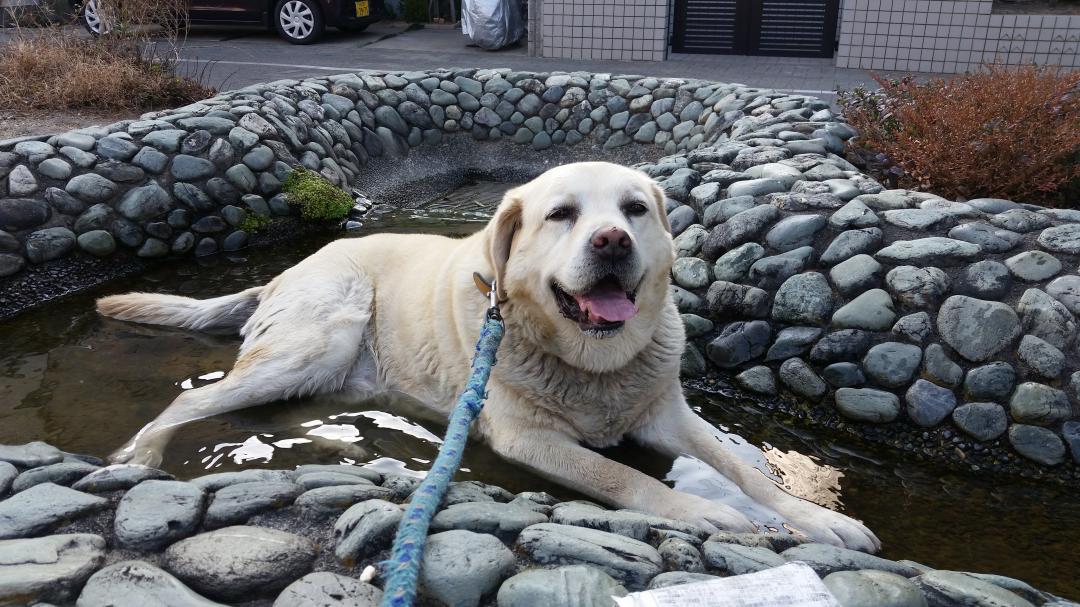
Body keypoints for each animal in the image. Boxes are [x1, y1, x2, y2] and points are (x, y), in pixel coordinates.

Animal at [97, 163, 881, 550]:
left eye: (635, 209)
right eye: (562, 214)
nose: (612, 242)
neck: (592, 364)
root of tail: (289, 269)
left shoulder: (667, 415)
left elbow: (744, 470)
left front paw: (819, 520)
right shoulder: (529, 439)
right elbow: (623, 476)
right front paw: (707, 513)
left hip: (331, 376)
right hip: (318, 341)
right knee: (194, 397)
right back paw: (143, 453)